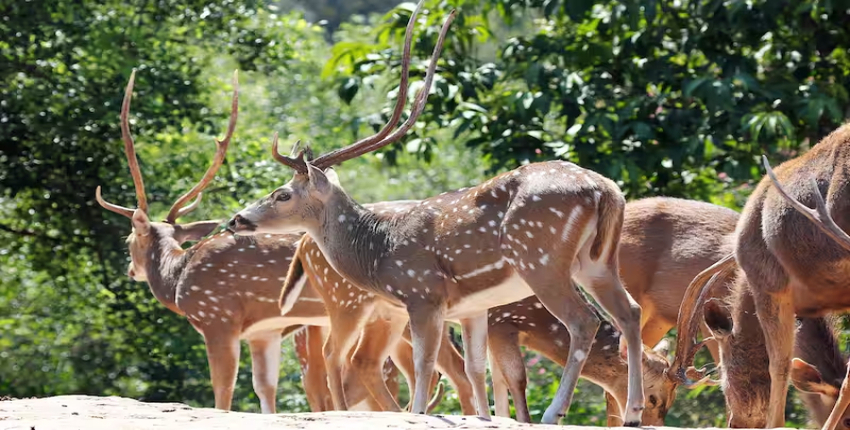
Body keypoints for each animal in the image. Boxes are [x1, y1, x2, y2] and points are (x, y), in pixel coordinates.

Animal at [224, 1, 644, 424]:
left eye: (281, 194)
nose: (236, 219)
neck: (378, 251)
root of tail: (605, 190)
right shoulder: (473, 307)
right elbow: (475, 368)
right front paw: (482, 417)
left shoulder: (422, 293)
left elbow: (426, 362)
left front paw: (420, 411)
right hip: (597, 261)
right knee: (630, 311)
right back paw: (634, 413)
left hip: (540, 259)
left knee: (585, 320)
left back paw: (554, 413)